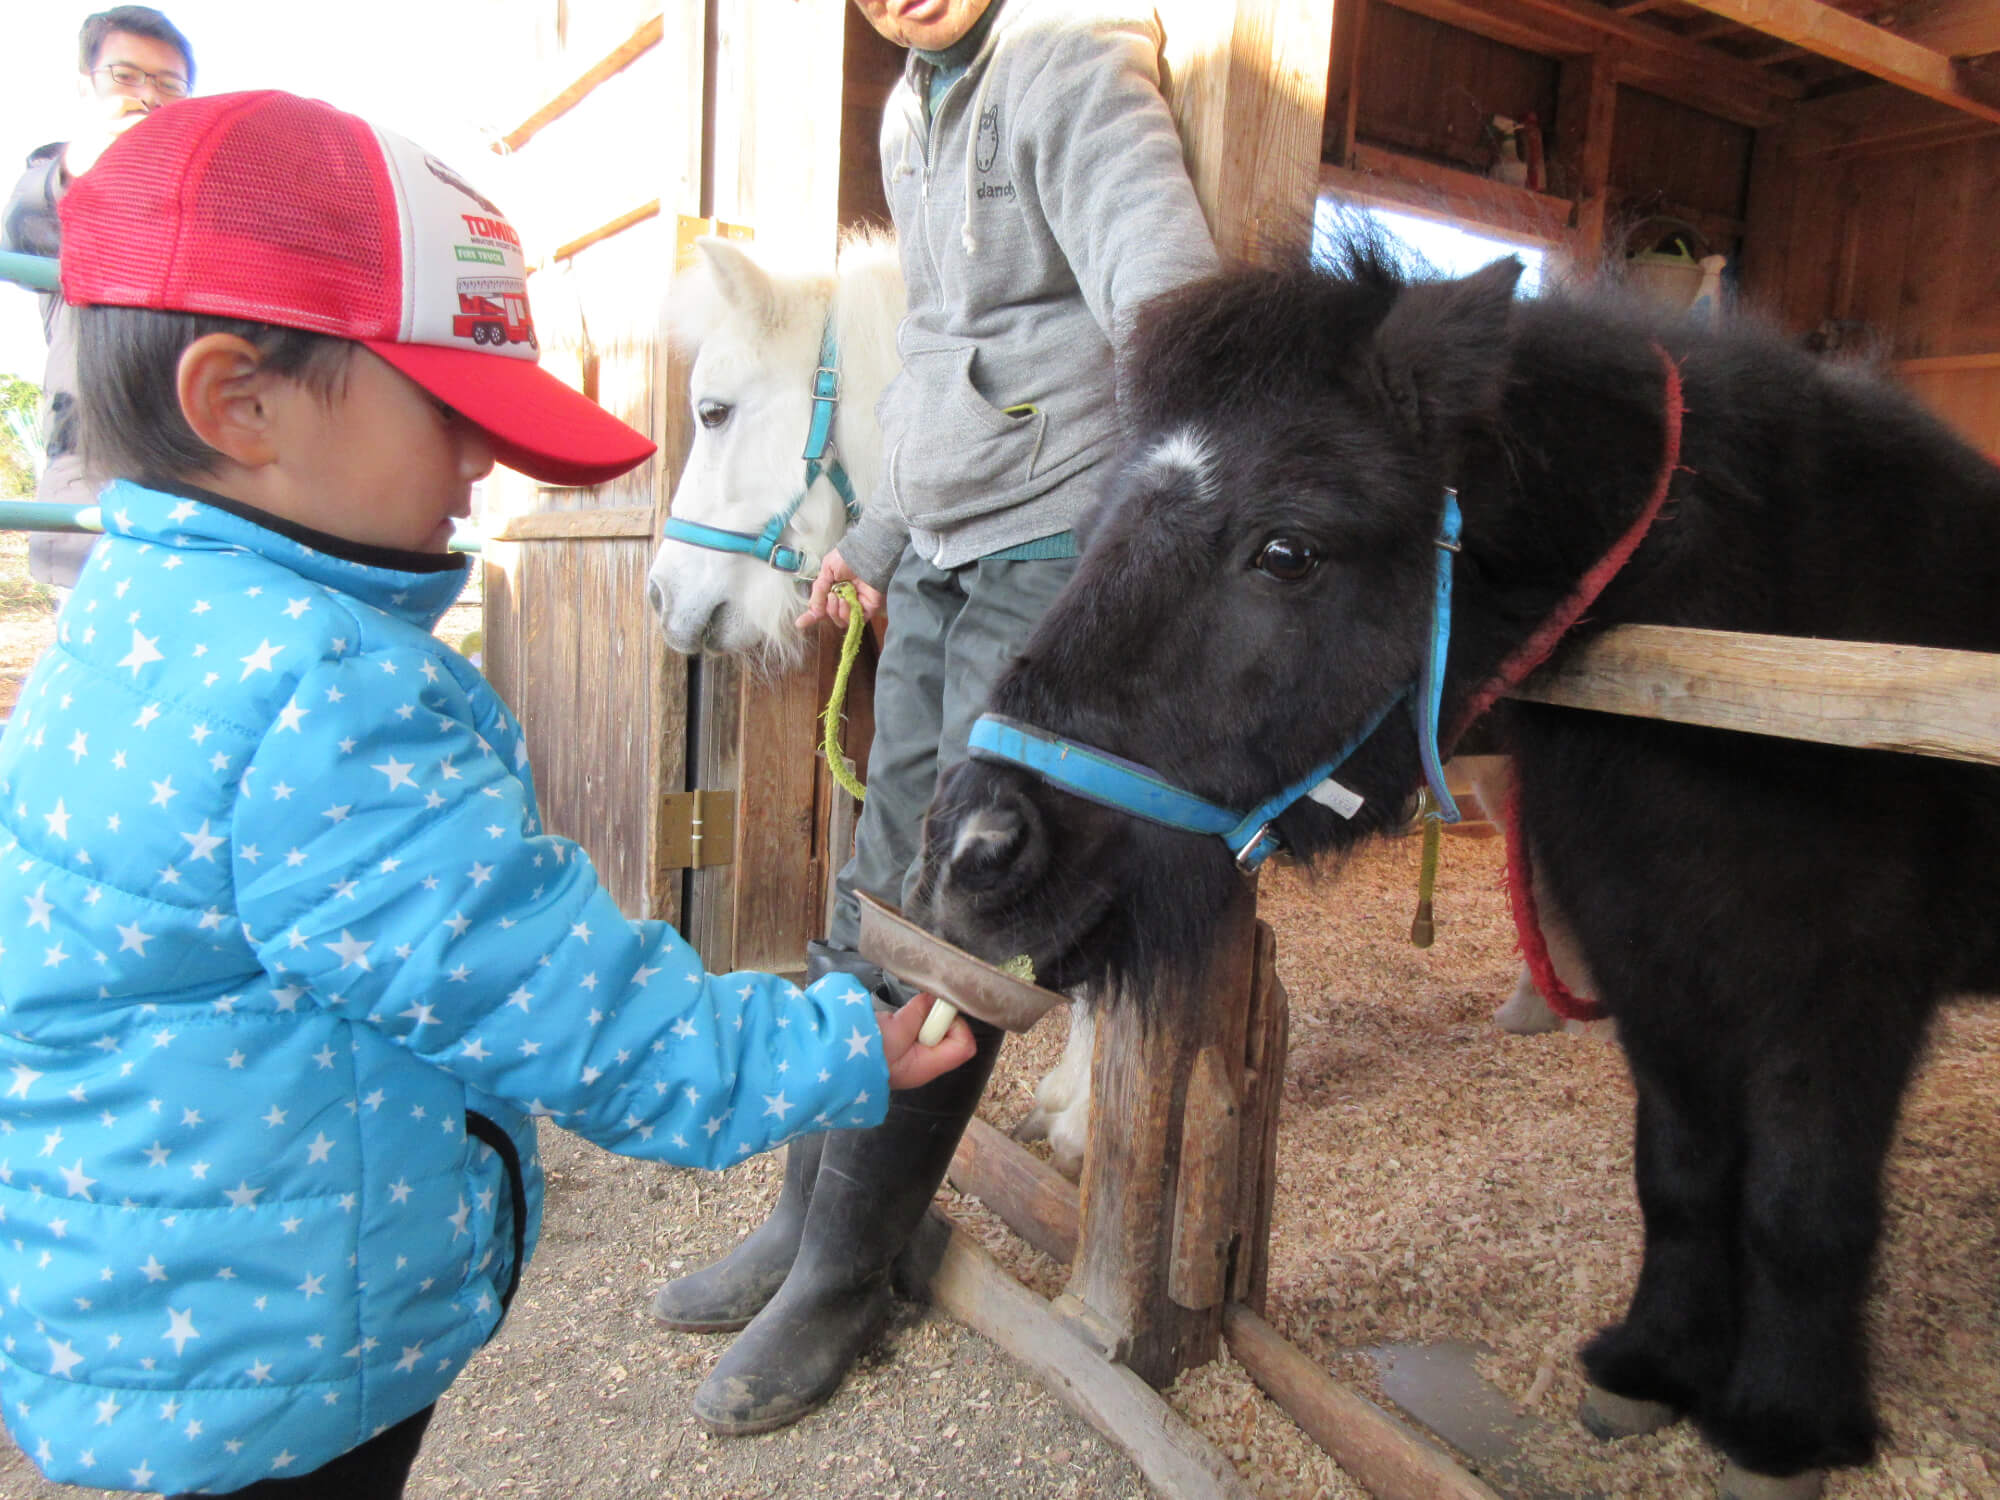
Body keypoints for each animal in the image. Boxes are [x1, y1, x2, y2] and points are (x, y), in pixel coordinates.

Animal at [916, 253, 2000, 1496]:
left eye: (1286, 550)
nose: (971, 847)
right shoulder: (1653, 965)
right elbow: (1680, 1167)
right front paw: (1648, 1366)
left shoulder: (1841, 996)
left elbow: (1796, 1205)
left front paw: (1778, 1429)